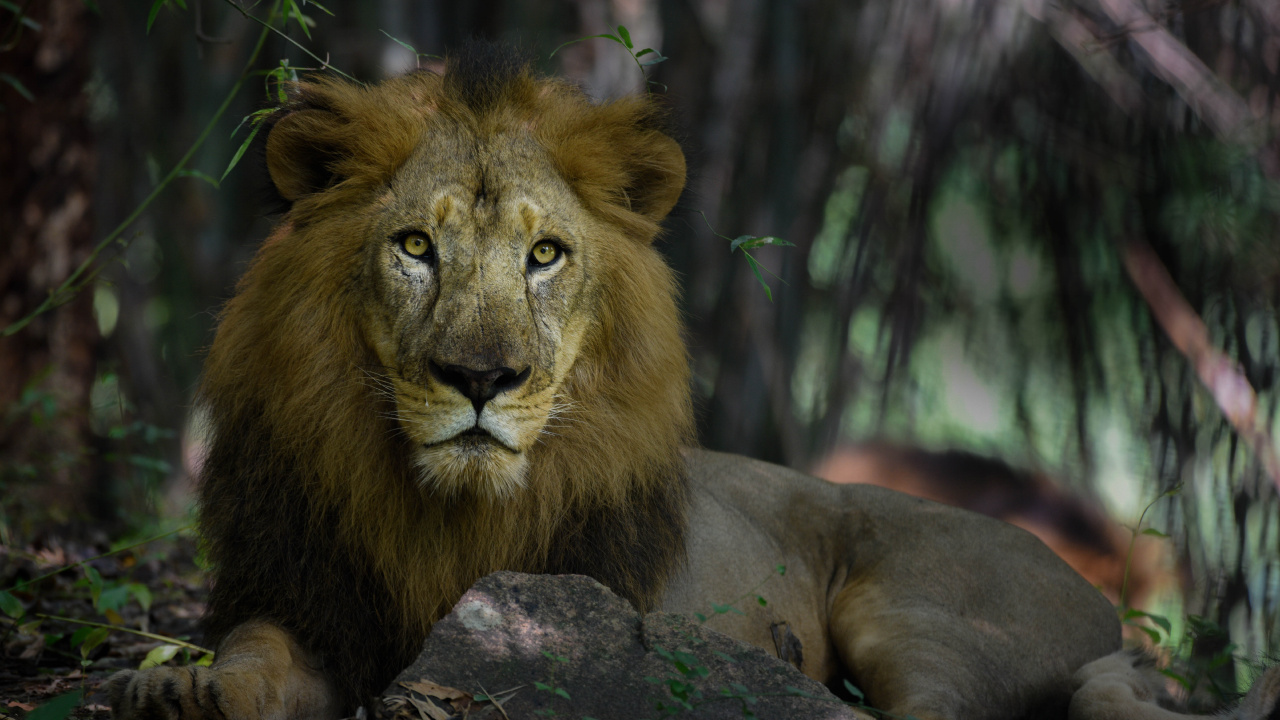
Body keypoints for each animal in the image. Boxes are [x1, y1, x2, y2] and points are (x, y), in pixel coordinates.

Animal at [107, 47, 1277, 720]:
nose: (482, 378)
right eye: (413, 248)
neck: (439, 513)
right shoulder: (302, 599)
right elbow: (252, 654)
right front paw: (180, 686)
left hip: (914, 611)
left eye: (544, 256)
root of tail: (1102, 599)